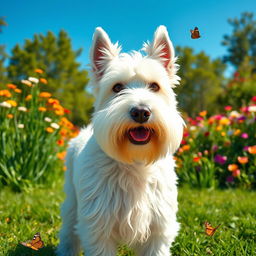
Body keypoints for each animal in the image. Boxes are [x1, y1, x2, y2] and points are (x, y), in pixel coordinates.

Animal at [56, 24, 184, 256]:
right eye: (117, 87)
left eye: (155, 86)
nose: (141, 112)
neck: (135, 163)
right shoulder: (97, 228)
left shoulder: (158, 228)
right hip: (72, 200)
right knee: (68, 229)